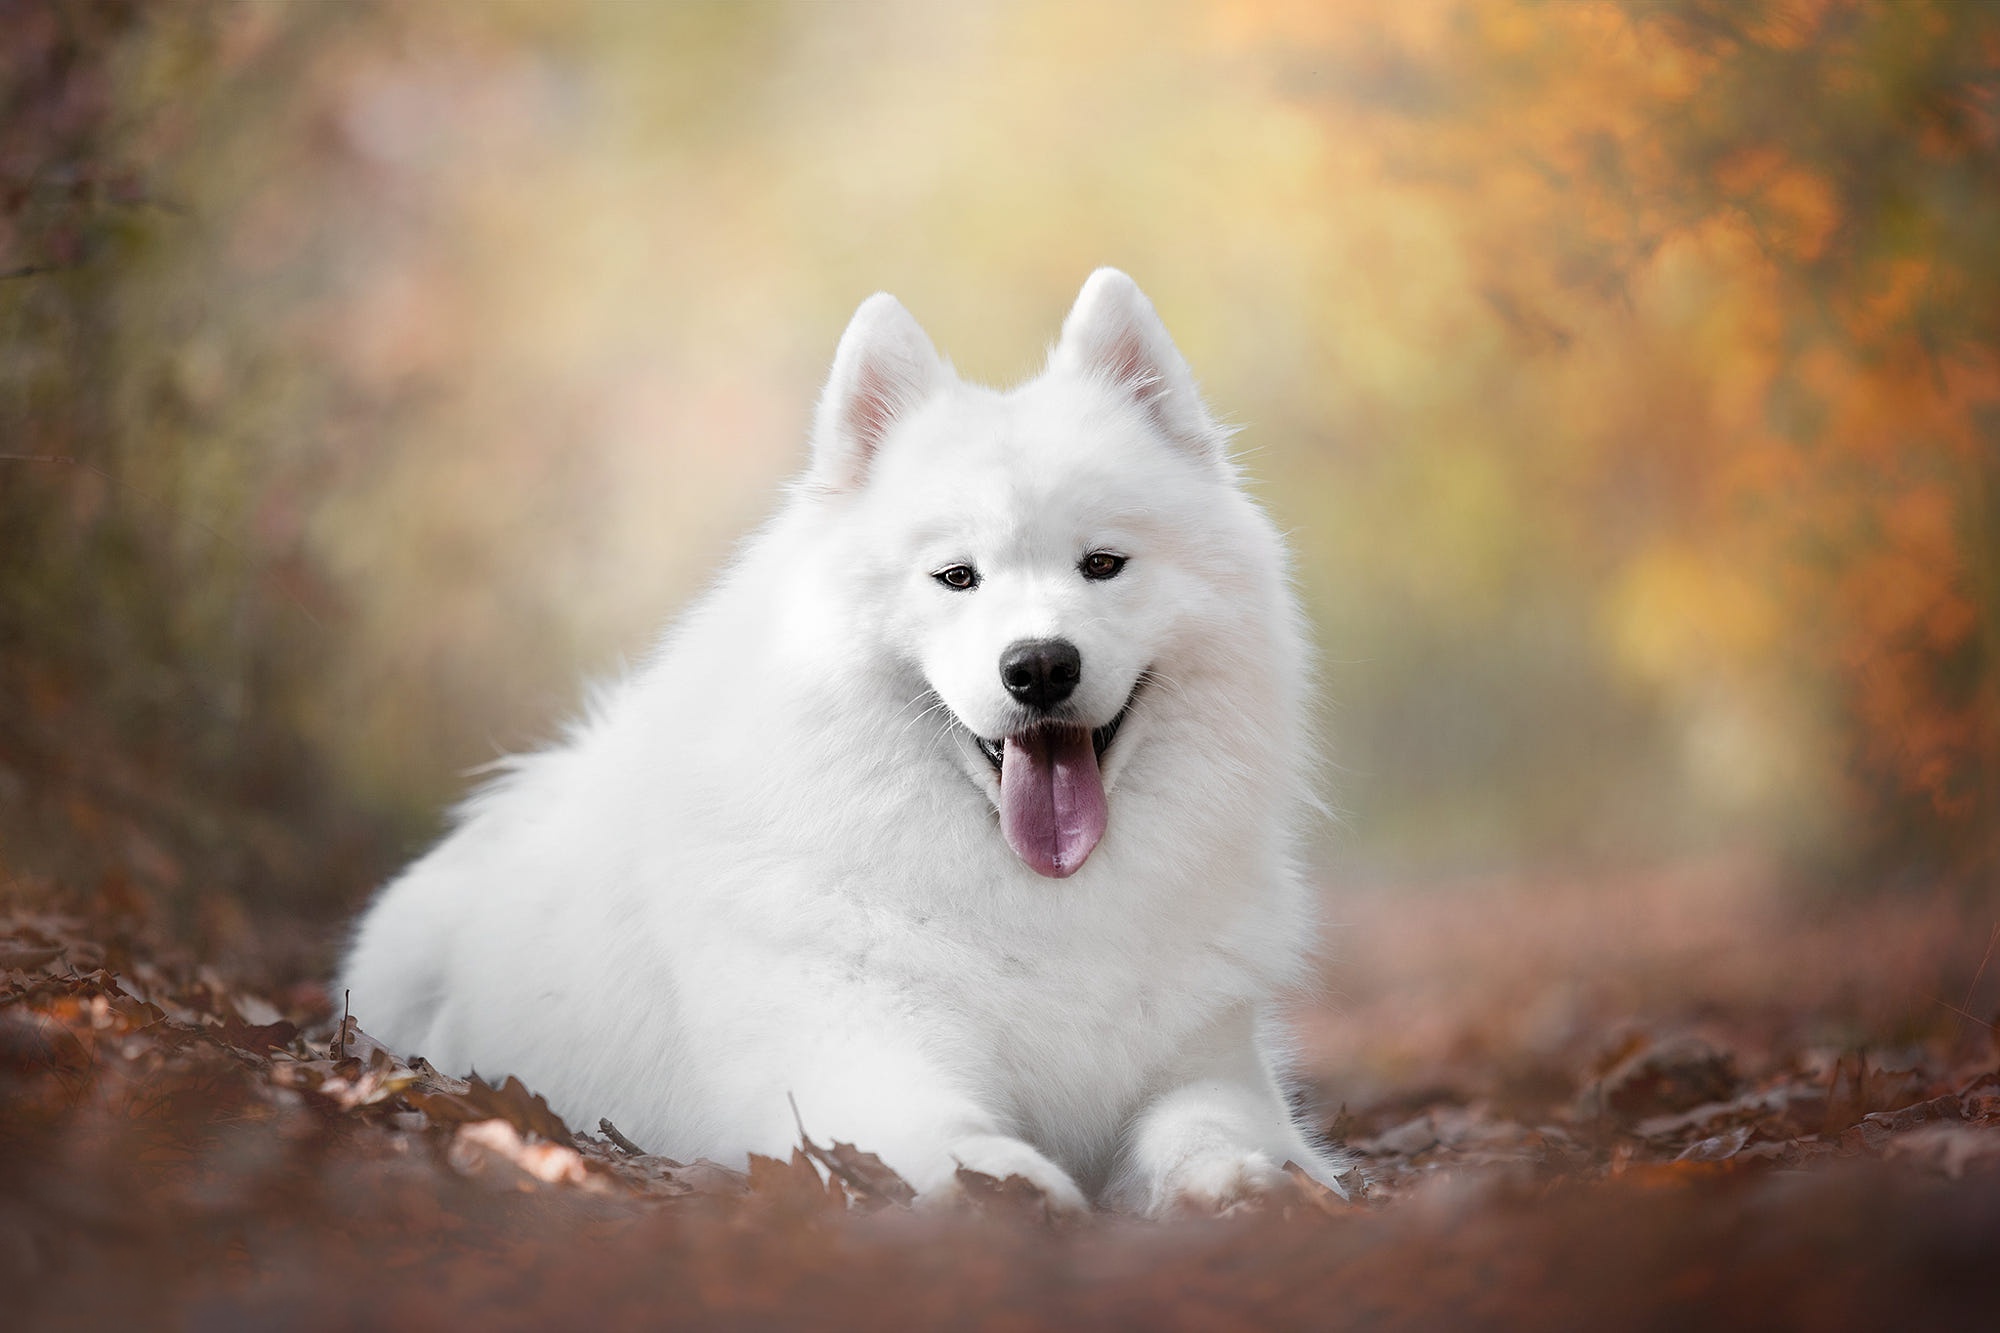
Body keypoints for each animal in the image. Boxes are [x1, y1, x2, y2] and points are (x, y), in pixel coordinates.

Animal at [344, 268, 1352, 1200]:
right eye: (956, 576)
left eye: (1103, 564)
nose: (1038, 666)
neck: (1037, 901)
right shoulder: (849, 1052)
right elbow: (939, 1130)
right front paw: (1006, 1186)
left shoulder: (1208, 1062)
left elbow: (1210, 1124)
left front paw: (1240, 1182)